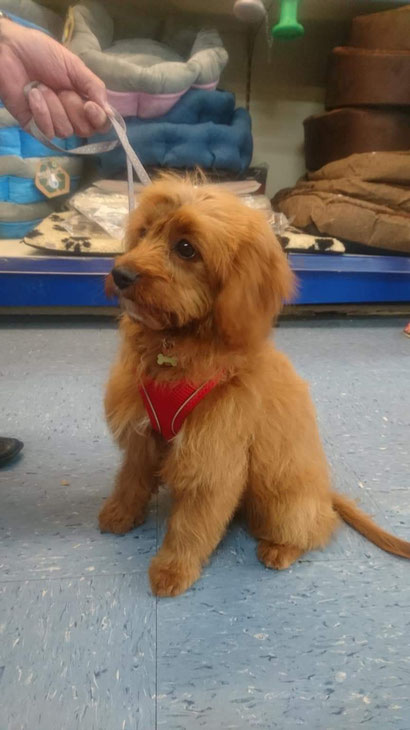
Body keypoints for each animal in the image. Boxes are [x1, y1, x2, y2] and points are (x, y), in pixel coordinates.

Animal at [99, 173, 410, 596]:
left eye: (186, 248)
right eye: (144, 232)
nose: (121, 274)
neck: (176, 350)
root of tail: (324, 492)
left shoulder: (213, 461)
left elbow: (191, 526)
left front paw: (173, 569)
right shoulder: (142, 435)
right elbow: (130, 481)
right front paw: (120, 514)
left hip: (279, 497)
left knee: (316, 527)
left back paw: (281, 550)